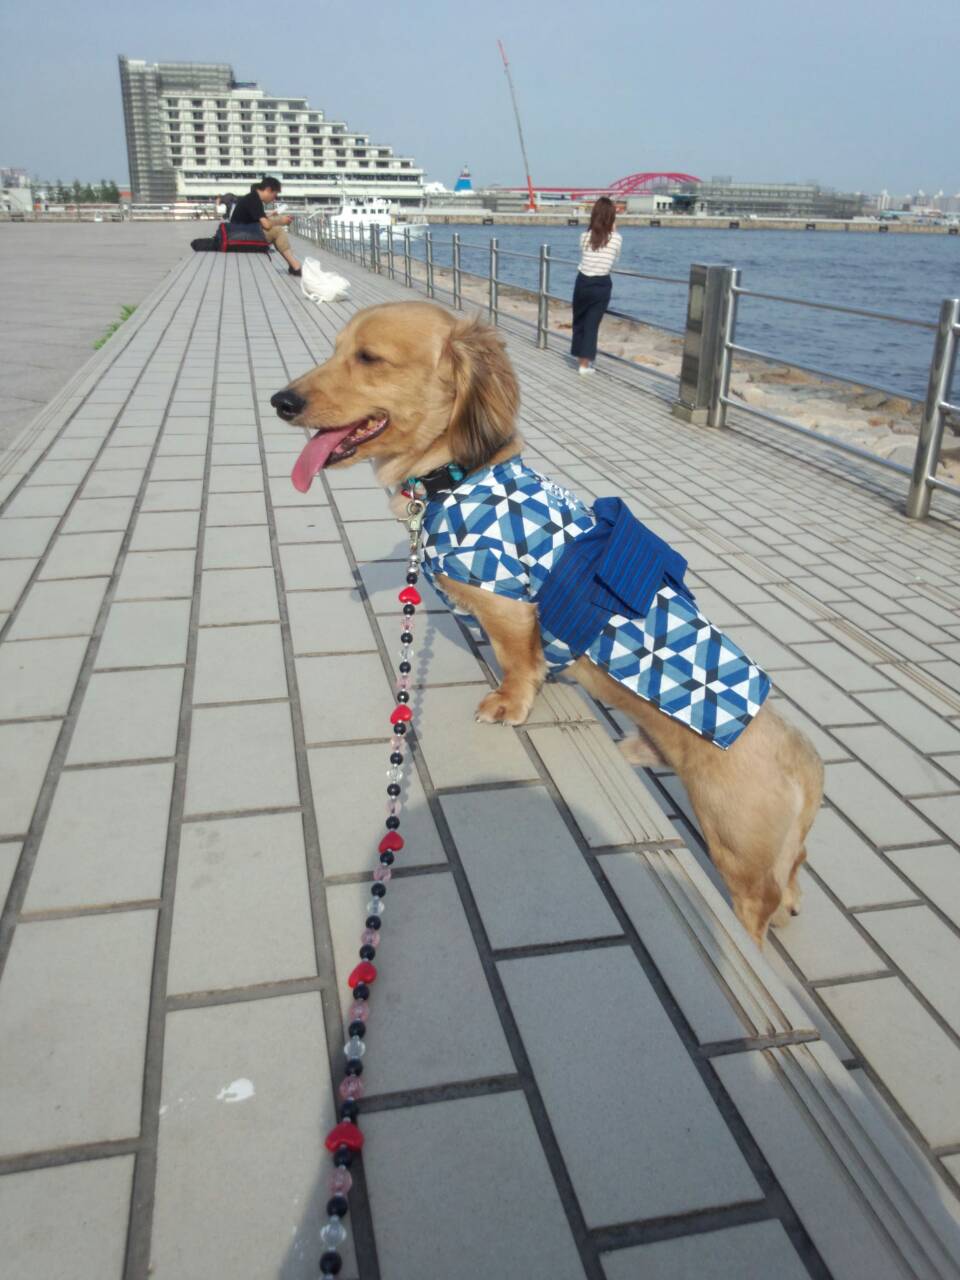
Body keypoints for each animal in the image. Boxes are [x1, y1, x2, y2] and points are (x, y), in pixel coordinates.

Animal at [271, 301, 824, 946]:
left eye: (369, 358)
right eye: (336, 350)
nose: (281, 401)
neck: (455, 476)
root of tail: (805, 763)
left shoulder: (509, 606)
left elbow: (518, 662)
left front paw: (508, 703)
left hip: (736, 849)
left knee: (761, 902)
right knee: (792, 880)